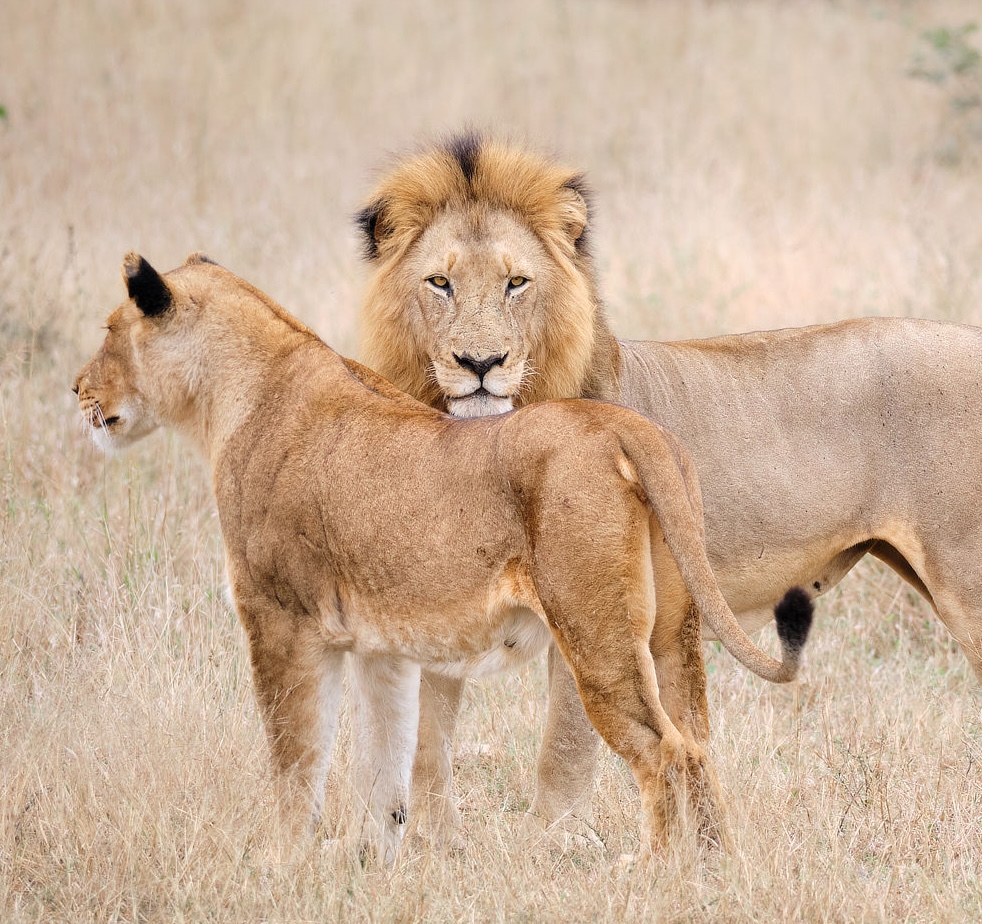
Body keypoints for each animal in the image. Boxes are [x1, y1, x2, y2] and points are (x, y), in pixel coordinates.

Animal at [73, 253, 811, 862]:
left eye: (109, 330)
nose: (77, 389)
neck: (233, 397)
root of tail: (629, 428)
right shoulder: (380, 648)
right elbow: (386, 764)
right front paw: (371, 861)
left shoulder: (280, 621)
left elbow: (295, 756)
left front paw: (283, 861)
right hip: (669, 636)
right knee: (700, 743)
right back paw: (716, 868)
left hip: (596, 637)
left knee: (664, 751)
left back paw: (656, 875)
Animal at [355, 132, 982, 843]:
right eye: (440, 282)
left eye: (517, 282)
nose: (481, 364)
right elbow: (428, 741)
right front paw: (430, 845)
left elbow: (564, 748)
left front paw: (558, 842)